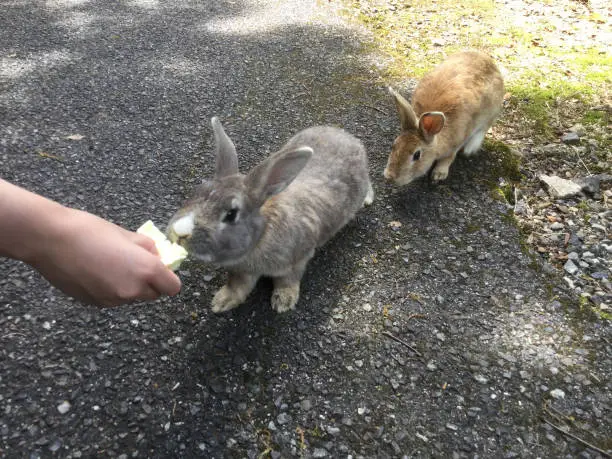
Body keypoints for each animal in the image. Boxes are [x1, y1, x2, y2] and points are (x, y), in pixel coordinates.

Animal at [165, 117, 372, 314]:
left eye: (231, 214)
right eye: (197, 191)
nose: (179, 232)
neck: (262, 235)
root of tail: (347, 137)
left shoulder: (297, 260)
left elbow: (288, 280)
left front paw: (284, 301)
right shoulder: (241, 271)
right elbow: (237, 286)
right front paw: (222, 302)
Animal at [384, 51, 504, 186]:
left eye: (417, 155)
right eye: (394, 145)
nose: (390, 177)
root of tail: (489, 61)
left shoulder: (457, 141)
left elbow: (449, 157)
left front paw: (438, 175)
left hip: (492, 111)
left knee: (484, 128)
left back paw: (470, 148)